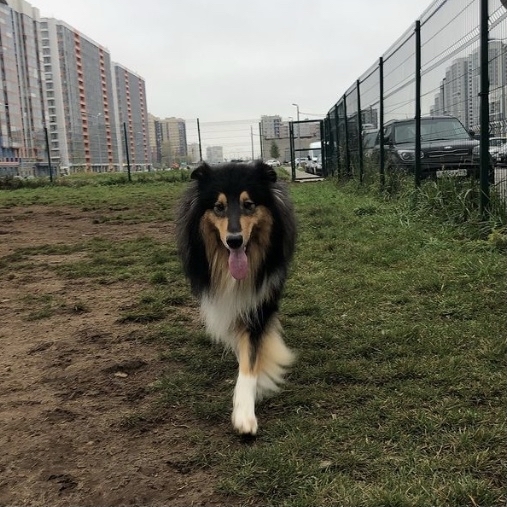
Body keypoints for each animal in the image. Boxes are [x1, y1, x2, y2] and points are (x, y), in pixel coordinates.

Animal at [178, 161, 298, 434]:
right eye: (218, 207)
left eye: (249, 204)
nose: (234, 241)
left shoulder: (259, 305)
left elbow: (250, 359)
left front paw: (244, 412)